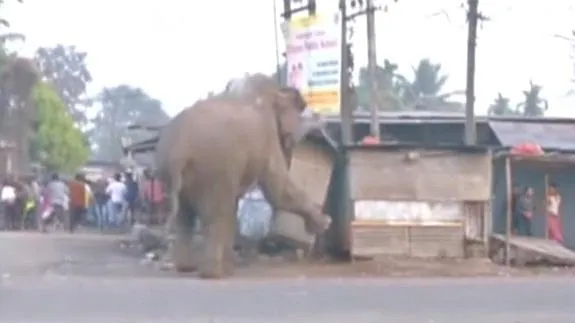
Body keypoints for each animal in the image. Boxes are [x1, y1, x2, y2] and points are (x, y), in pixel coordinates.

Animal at [155, 73, 330, 278]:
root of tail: (178, 149)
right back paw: (213, 274)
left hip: (173, 174)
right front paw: (324, 223)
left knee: (185, 216)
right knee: (215, 215)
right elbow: (276, 187)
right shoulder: (266, 134)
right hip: (214, 167)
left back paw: (187, 268)